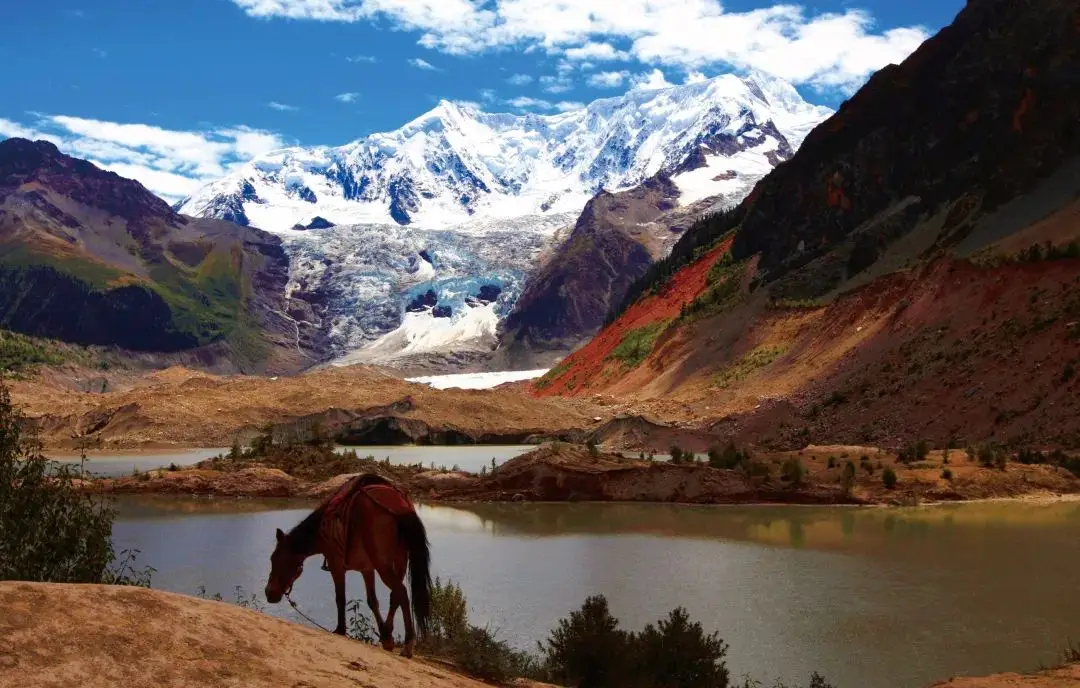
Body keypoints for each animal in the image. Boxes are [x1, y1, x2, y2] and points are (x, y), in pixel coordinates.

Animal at [263, 473, 432, 656]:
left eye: (275, 560)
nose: (269, 593)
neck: (322, 529)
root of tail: (400, 506)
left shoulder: (336, 566)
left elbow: (340, 598)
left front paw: (340, 630)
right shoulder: (367, 569)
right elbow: (372, 601)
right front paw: (386, 637)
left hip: (383, 565)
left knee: (401, 591)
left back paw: (408, 644)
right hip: (399, 560)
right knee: (396, 595)